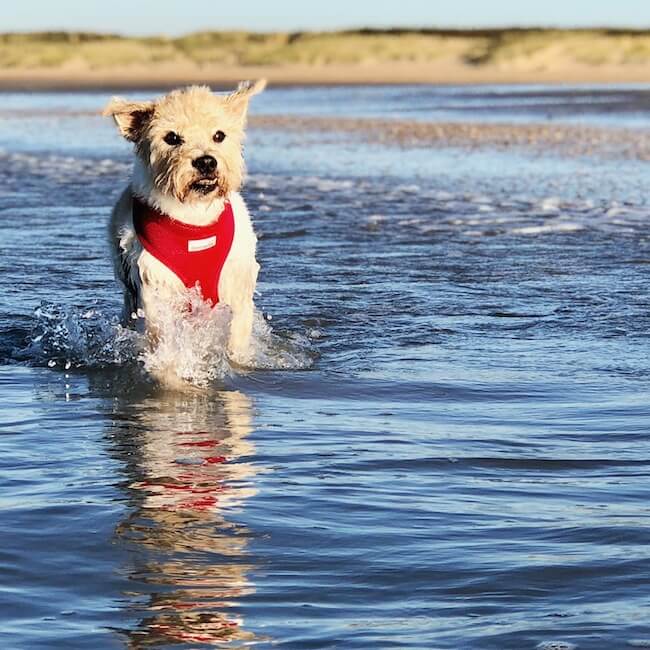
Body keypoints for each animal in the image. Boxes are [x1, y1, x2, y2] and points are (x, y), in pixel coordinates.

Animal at [102, 78, 264, 368]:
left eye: (219, 135)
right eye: (172, 138)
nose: (206, 162)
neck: (194, 217)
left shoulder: (236, 284)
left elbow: (237, 335)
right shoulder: (157, 288)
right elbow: (163, 340)